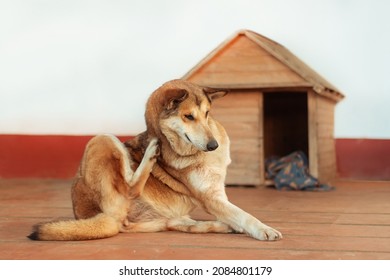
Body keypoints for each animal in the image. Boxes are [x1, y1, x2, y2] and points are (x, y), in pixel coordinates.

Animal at [29, 80, 282, 242]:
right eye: (188, 116)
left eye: (207, 114)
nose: (213, 146)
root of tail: (89, 216)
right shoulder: (211, 198)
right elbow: (244, 215)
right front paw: (264, 229)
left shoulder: (218, 193)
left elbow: (237, 213)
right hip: (102, 138)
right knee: (129, 186)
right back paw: (149, 154)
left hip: (168, 220)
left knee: (186, 224)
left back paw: (223, 227)